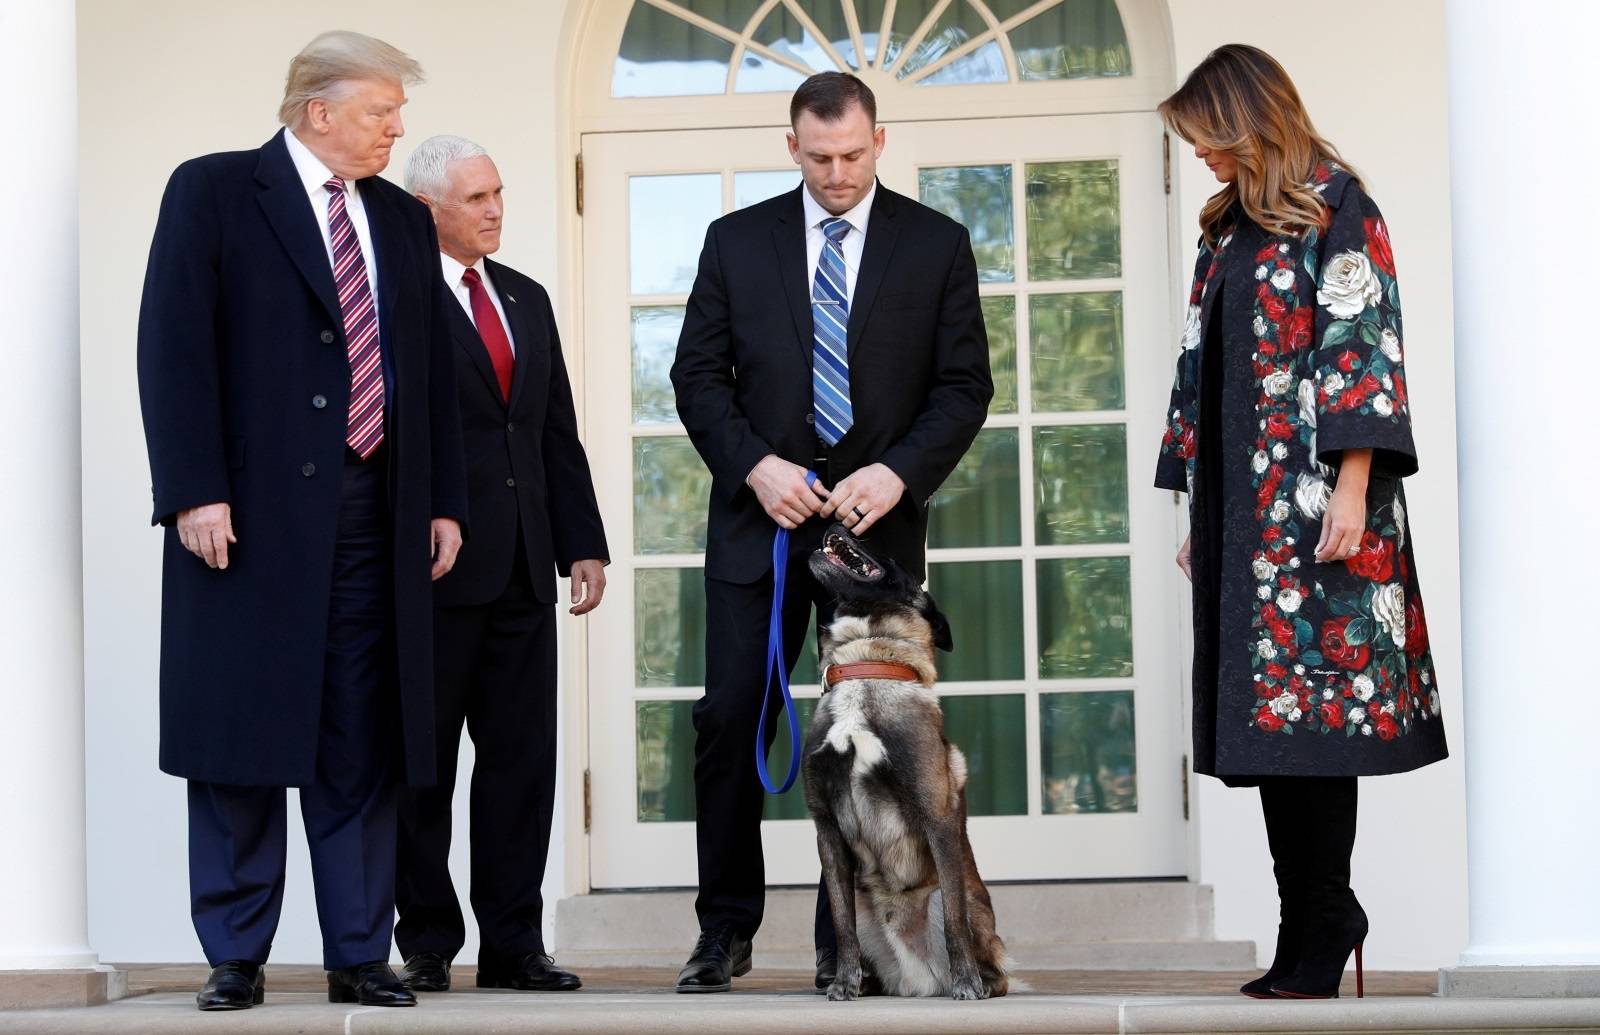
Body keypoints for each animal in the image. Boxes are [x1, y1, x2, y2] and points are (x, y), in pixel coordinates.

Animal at [800, 527, 1011, 1004]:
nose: (838, 521)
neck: (866, 665)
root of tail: (917, 983)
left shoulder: (937, 817)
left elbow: (954, 919)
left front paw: (967, 984)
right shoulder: (825, 828)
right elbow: (840, 924)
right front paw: (844, 982)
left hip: (951, 907)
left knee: (980, 947)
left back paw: (977, 981)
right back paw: (867, 981)